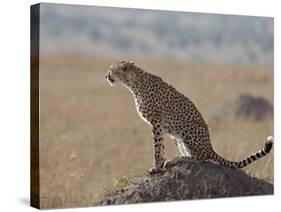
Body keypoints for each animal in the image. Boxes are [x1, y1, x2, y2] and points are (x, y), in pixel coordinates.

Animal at [104, 59, 272, 174]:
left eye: (111, 69)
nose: (106, 76)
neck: (133, 83)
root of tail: (210, 147)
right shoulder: (160, 126)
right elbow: (161, 146)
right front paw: (160, 164)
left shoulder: (156, 122)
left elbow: (156, 147)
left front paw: (156, 167)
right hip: (176, 136)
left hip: (187, 129)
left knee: (200, 158)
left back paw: (178, 158)